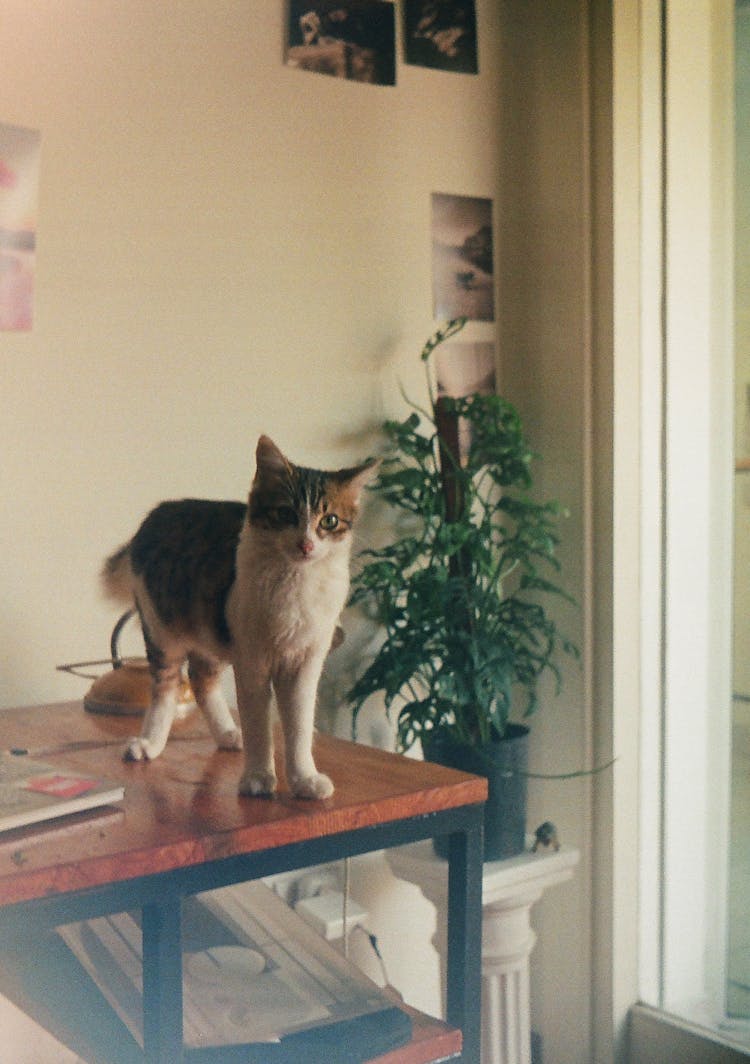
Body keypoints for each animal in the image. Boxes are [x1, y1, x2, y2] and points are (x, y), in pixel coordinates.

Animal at [101, 434, 374, 800]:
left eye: (329, 521)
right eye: (285, 514)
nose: (305, 545)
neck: (296, 583)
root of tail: (158, 512)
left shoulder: (306, 661)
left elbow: (299, 727)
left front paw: (304, 780)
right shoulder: (252, 660)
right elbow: (259, 722)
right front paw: (258, 778)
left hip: (209, 635)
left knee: (201, 681)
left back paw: (229, 734)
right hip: (163, 632)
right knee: (166, 689)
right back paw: (149, 743)